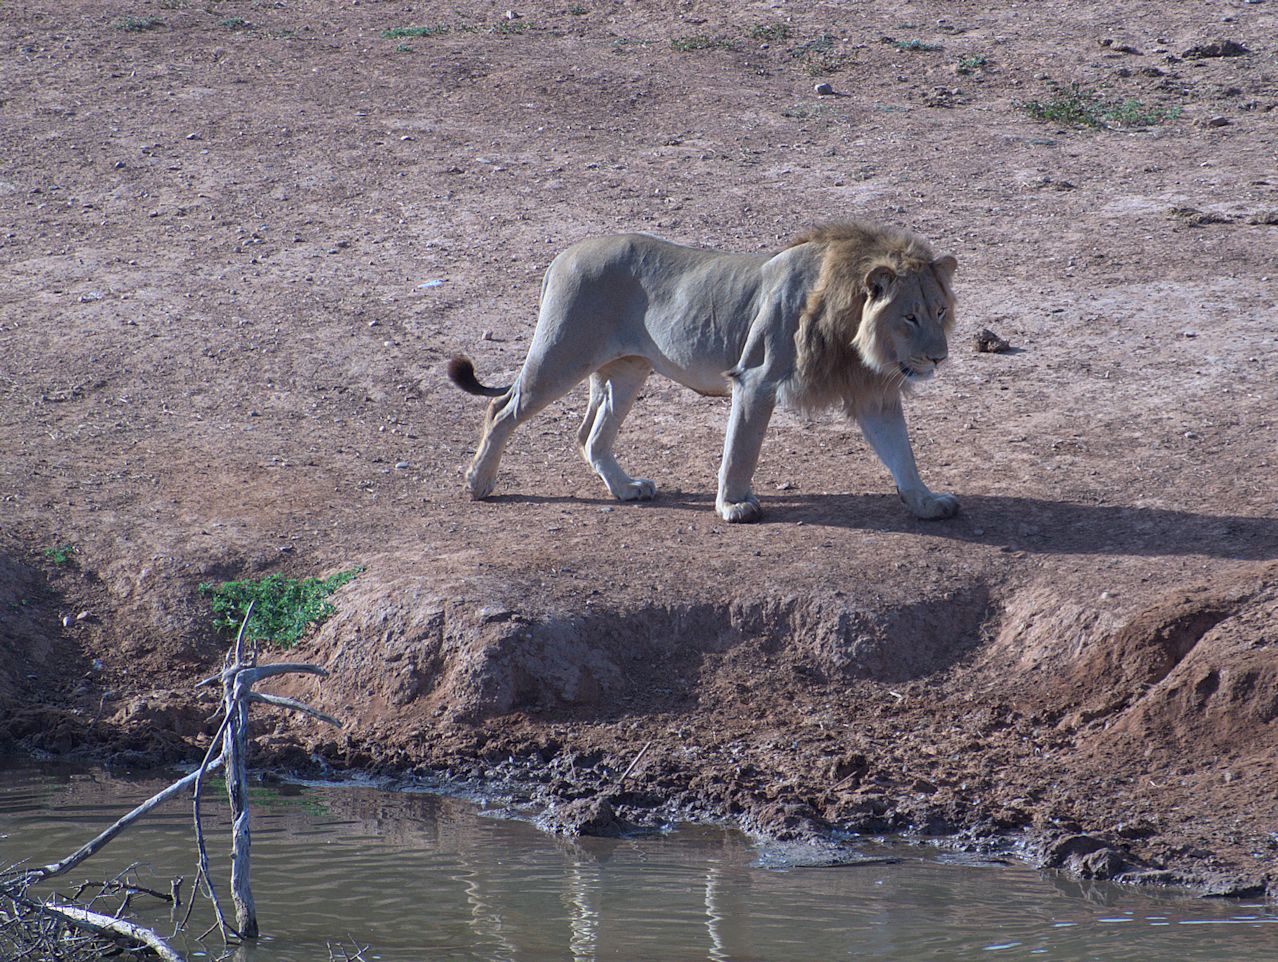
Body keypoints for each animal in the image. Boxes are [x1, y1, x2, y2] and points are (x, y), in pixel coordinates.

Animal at [449, 221, 961, 521]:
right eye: (909, 316)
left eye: (939, 311)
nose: (939, 358)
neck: (854, 332)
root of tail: (564, 254)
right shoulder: (755, 378)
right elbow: (741, 450)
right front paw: (734, 504)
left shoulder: (874, 394)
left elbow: (902, 453)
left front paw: (925, 501)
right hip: (561, 355)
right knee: (501, 409)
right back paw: (479, 483)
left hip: (628, 371)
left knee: (590, 435)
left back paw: (626, 489)